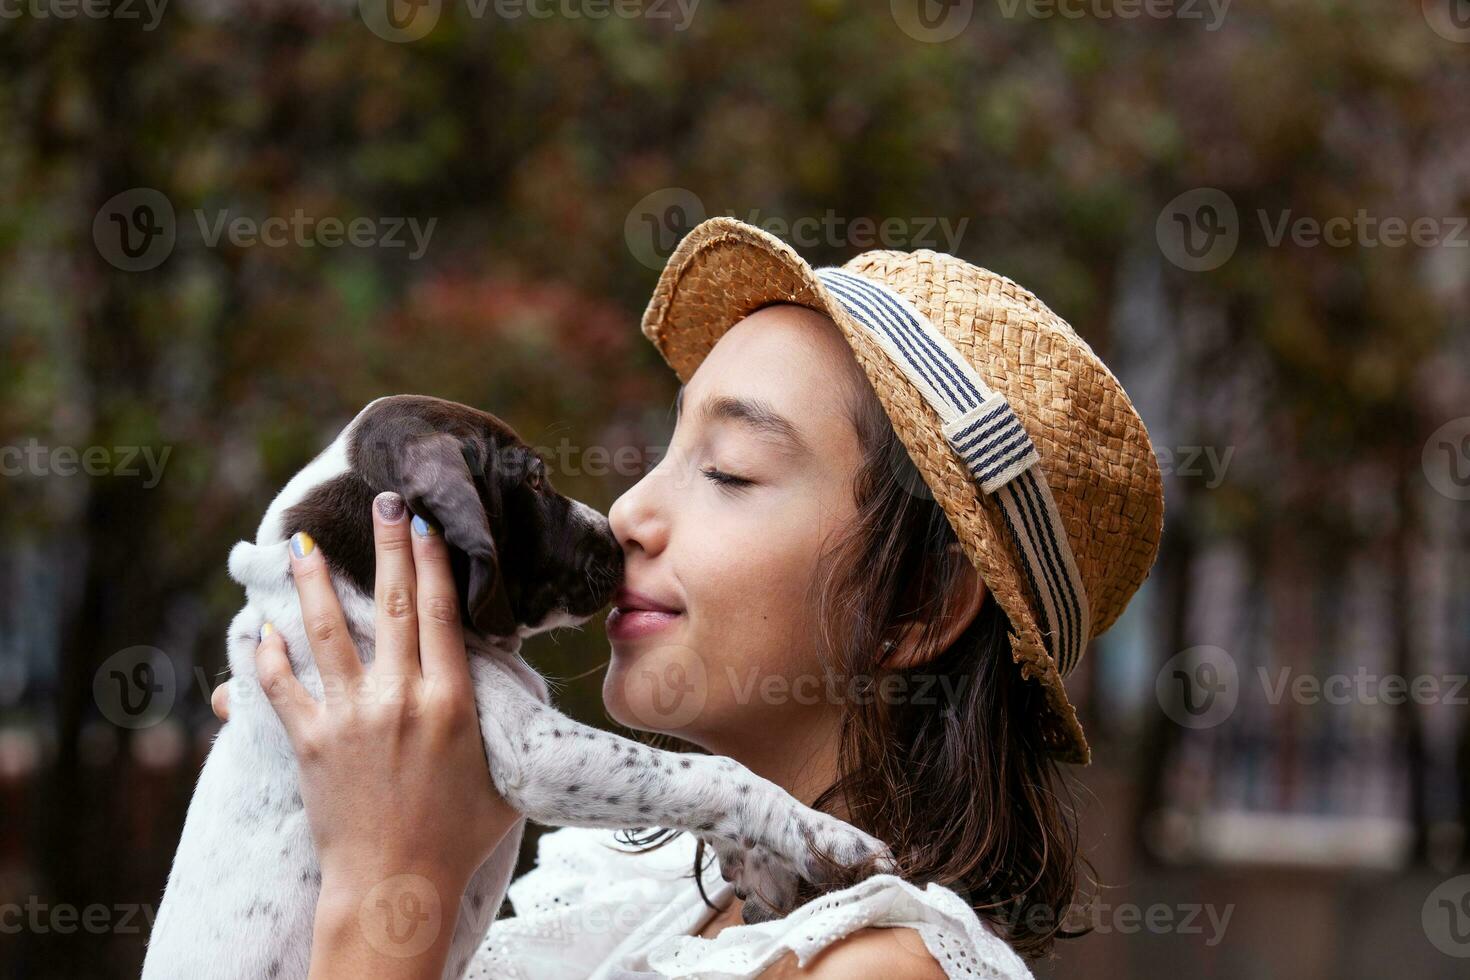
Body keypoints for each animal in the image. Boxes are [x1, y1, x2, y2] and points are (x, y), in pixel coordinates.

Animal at [143, 393, 887, 975]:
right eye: (533, 478)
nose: (616, 538)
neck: (354, 579)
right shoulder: (536, 751)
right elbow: (710, 772)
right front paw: (827, 837)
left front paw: (762, 864)